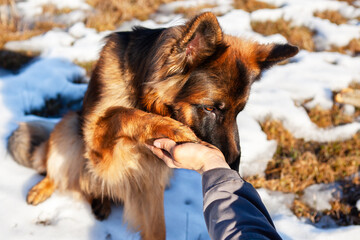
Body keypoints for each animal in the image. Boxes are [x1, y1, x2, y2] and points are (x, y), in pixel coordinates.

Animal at [7, 12, 298, 238]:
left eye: (239, 112)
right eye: (209, 108)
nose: (234, 167)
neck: (143, 93)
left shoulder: (149, 179)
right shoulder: (98, 148)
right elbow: (123, 113)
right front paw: (169, 127)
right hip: (69, 126)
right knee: (58, 169)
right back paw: (43, 187)